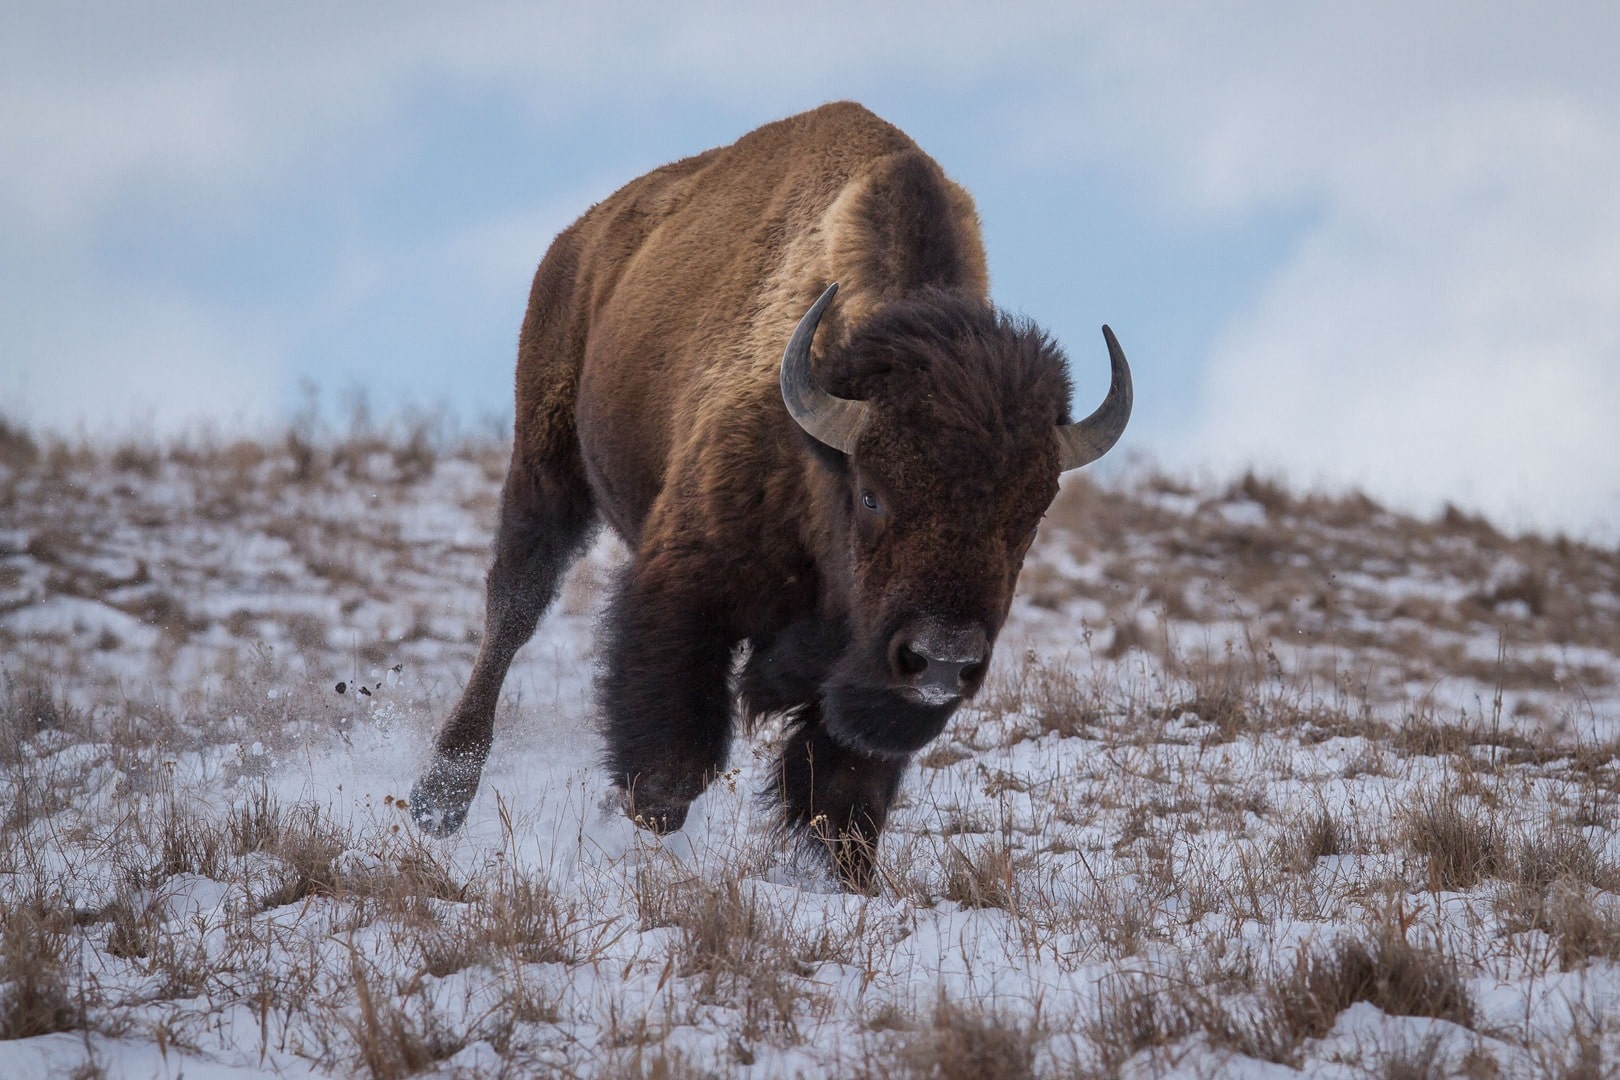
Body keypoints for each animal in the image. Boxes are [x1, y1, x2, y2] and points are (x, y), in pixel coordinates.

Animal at [411, 103, 1134, 887]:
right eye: (872, 495)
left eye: (1030, 516)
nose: (942, 659)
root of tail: (579, 239)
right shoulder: (687, 586)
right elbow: (669, 771)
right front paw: (629, 825)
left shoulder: (862, 677)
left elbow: (842, 794)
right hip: (547, 459)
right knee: (514, 605)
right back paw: (437, 803)